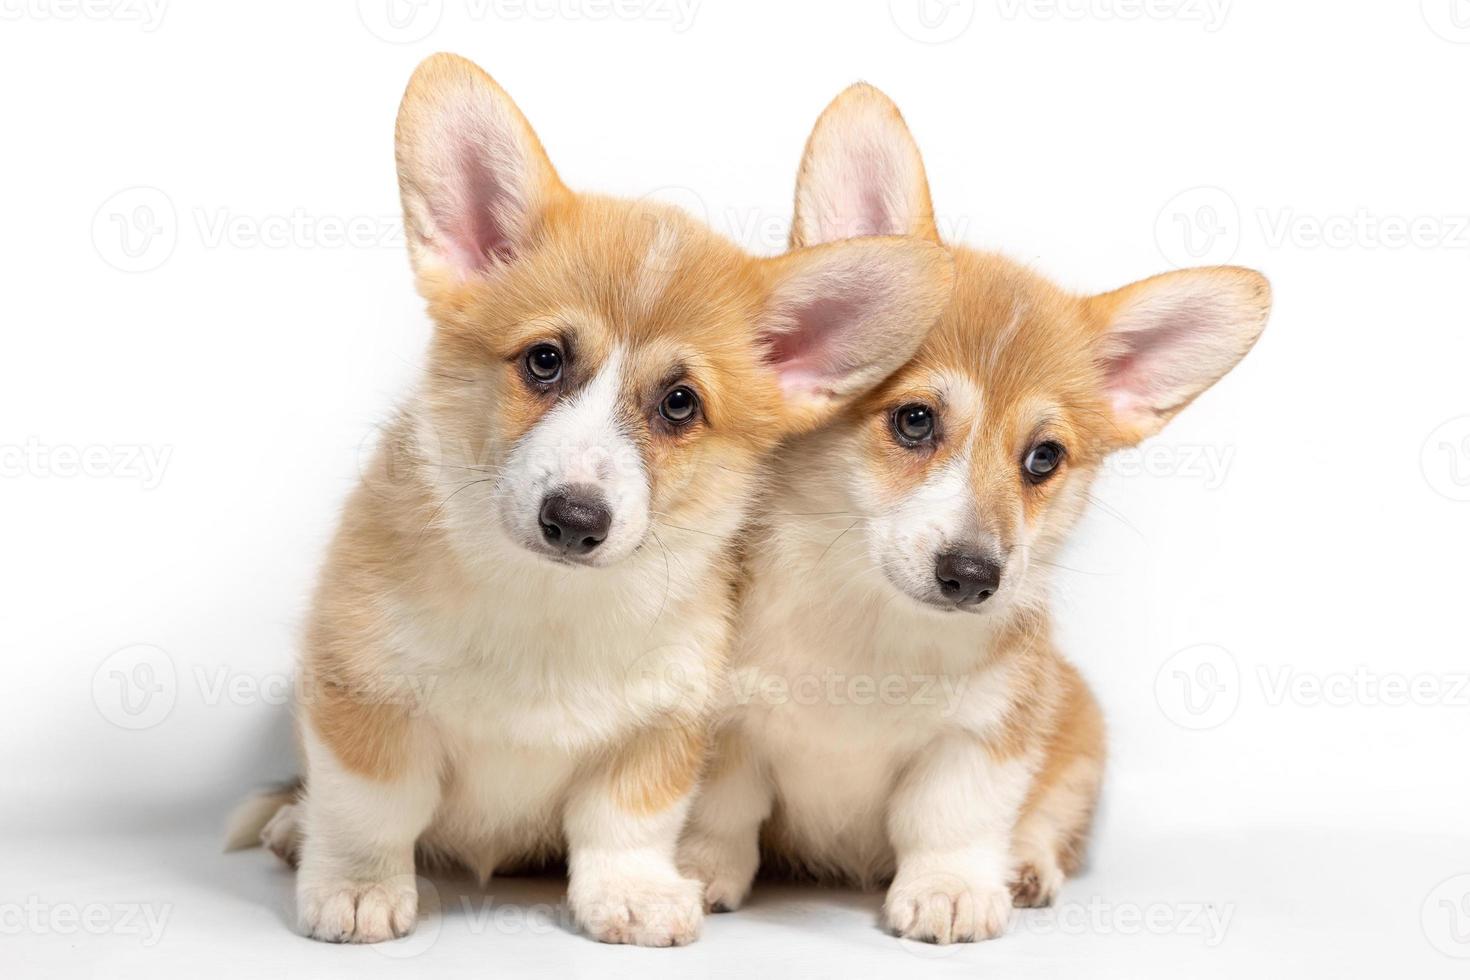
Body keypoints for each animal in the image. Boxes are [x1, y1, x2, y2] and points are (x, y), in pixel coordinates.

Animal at [227, 57, 952, 946]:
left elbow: (624, 824)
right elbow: (371, 808)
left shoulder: (660, 726)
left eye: (680, 404)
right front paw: (358, 889)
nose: (574, 520)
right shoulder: (360, 691)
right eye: (544, 360)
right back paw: (293, 827)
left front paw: (635, 896)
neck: (548, 603)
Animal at [676, 88, 1264, 946]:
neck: (871, 626)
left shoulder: (983, 734)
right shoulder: (729, 724)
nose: (972, 575)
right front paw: (695, 872)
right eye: (915, 420)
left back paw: (1026, 868)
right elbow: (720, 812)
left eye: (1044, 459)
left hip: (1080, 729)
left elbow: (950, 820)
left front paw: (950, 891)